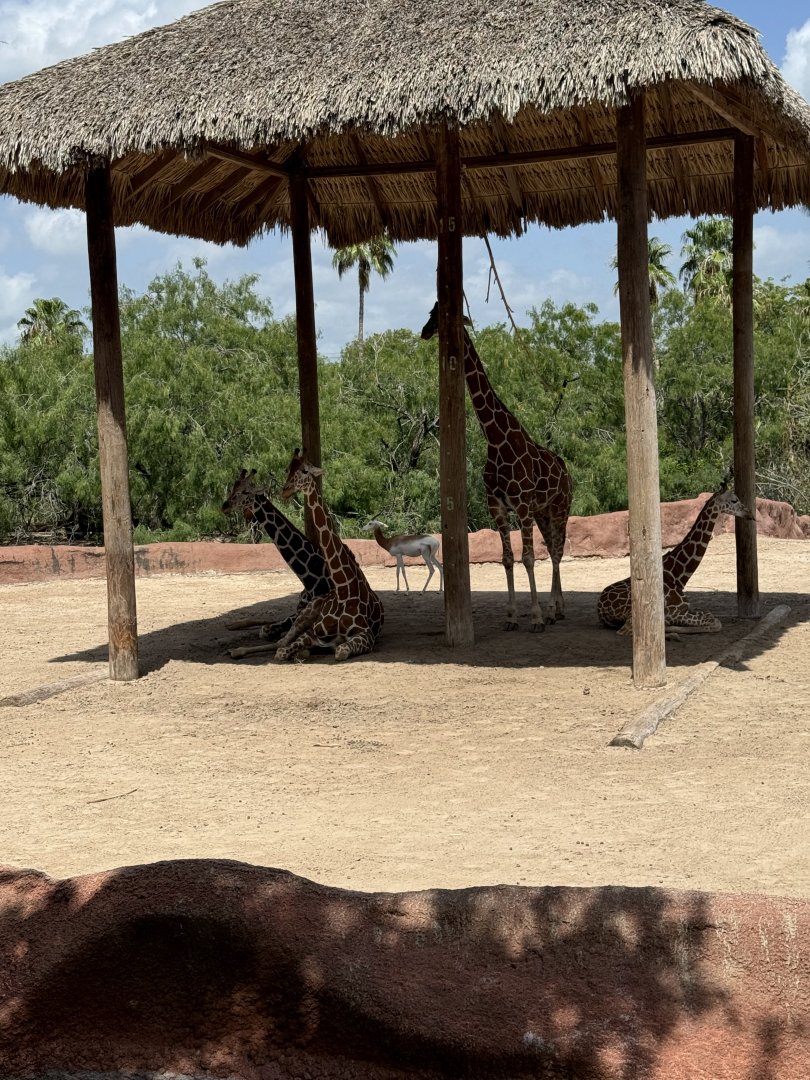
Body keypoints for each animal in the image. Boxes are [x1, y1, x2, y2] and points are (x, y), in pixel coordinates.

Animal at [221, 469, 333, 651]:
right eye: (232, 488)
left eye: (245, 492)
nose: (225, 505)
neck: (311, 578)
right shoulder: (299, 609)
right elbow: (268, 626)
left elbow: (268, 629)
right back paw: (234, 624)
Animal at [271, 450, 384, 662]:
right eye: (287, 468)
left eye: (305, 471)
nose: (285, 490)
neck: (342, 588)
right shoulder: (314, 631)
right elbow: (281, 652)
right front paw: (299, 651)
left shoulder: (366, 634)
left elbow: (340, 651)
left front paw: (306, 651)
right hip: (306, 611)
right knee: (282, 640)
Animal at [421, 302, 573, 631]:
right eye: (430, 313)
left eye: (441, 316)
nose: (424, 332)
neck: (495, 438)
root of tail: (566, 470)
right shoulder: (498, 505)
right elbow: (507, 559)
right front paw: (512, 616)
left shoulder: (522, 504)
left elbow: (528, 557)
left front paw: (536, 617)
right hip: (543, 512)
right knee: (553, 548)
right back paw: (558, 609)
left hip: (560, 507)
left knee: (556, 551)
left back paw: (551, 611)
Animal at [597, 488, 754, 636]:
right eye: (734, 500)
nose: (750, 514)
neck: (678, 576)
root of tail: (601, 610)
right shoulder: (675, 611)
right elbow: (715, 622)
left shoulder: (687, 608)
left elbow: (709, 615)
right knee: (626, 630)